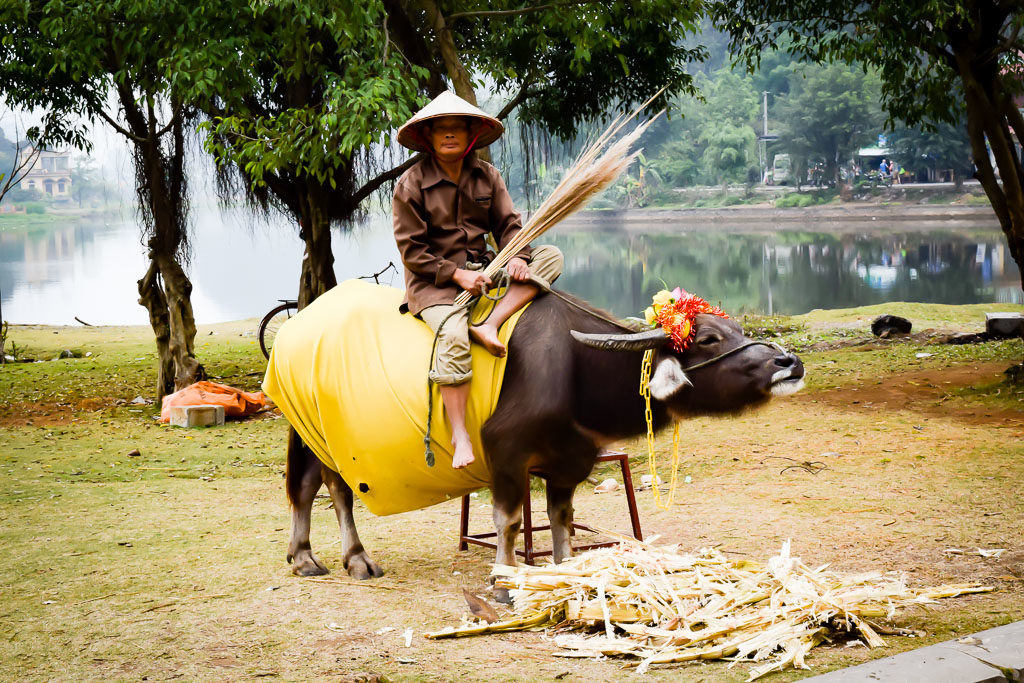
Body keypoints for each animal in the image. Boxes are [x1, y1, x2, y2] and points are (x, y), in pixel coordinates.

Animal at [284, 288, 802, 598]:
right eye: (710, 338)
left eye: (738, 330)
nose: (789, 363)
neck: (577, 371)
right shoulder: (506, 455)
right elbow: (511, 521)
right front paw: (503, 581)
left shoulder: (569, 461)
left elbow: (561, 519)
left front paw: (565, 569)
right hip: (324, 437)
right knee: (334, 489)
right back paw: (354, 559)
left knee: (305, 487)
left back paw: (304, 557)